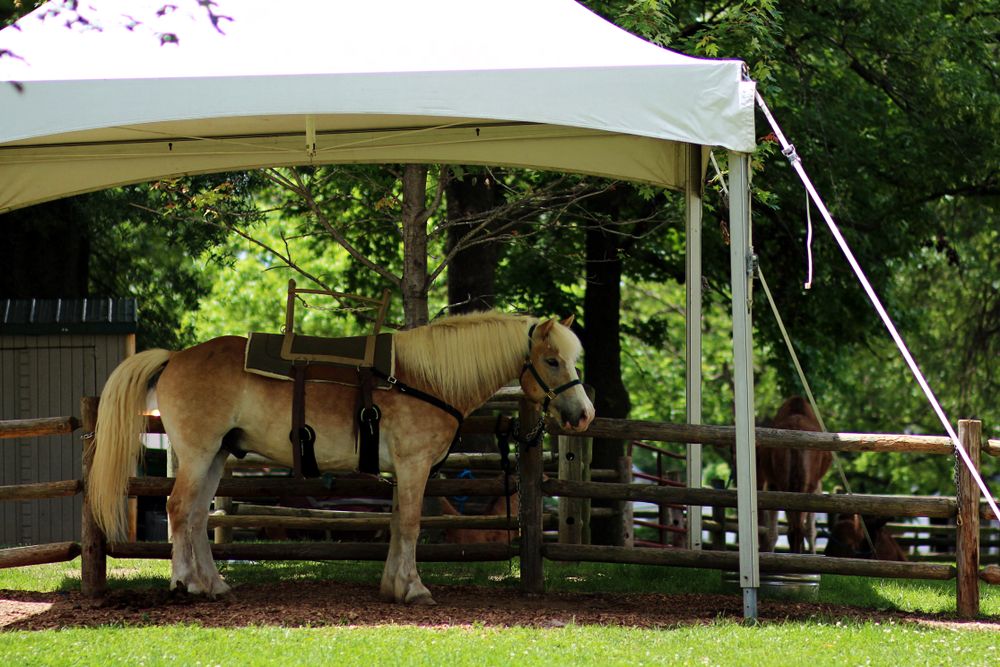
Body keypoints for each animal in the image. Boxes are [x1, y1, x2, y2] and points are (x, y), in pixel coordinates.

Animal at [89, 312, 594, 604]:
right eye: (552, 361)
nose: (584, 414)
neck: (424, 379)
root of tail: (176, 357)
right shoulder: (414, 466)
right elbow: (412, 525)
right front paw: (414, 589)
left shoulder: (403, 471)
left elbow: (397, 524)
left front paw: (393, 586)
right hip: (198, 453)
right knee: (178, 509)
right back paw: (184, 583)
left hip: (215, 456)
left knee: (196, 517)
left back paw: (213, 584)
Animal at [756, 396, 832, 554]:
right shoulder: (816, 484)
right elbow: (811, 530)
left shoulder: (773, 484)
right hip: (805, 485)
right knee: (797, 529)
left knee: (791, 529)